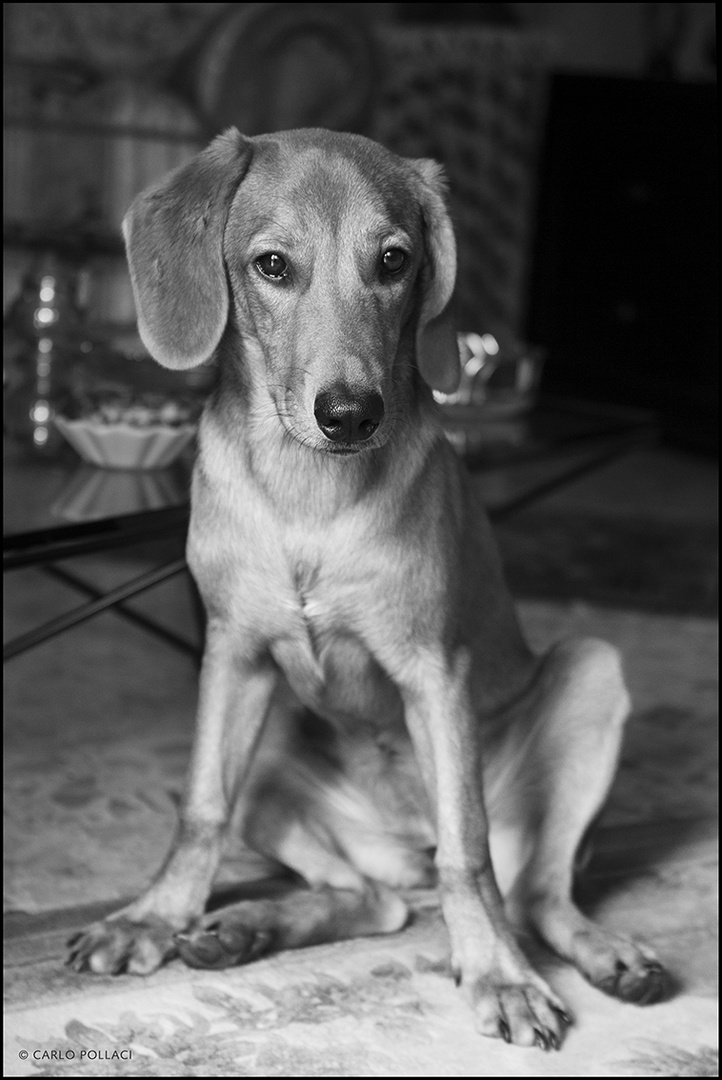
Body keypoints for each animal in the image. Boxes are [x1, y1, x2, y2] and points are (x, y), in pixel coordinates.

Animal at [67, 126, 664, 1045]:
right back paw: (248, 927)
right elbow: (200, 810)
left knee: (530, 891)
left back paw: (604, 954)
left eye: (393, 261)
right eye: (272, 266)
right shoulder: (232, 655)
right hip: (273, 738)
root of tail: (400, 846)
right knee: (372, 899)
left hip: (591, 670)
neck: (307, 496)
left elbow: (470, 854)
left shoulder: (435, 673)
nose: (349, 414)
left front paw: (498, 975)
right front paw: (154, 918)